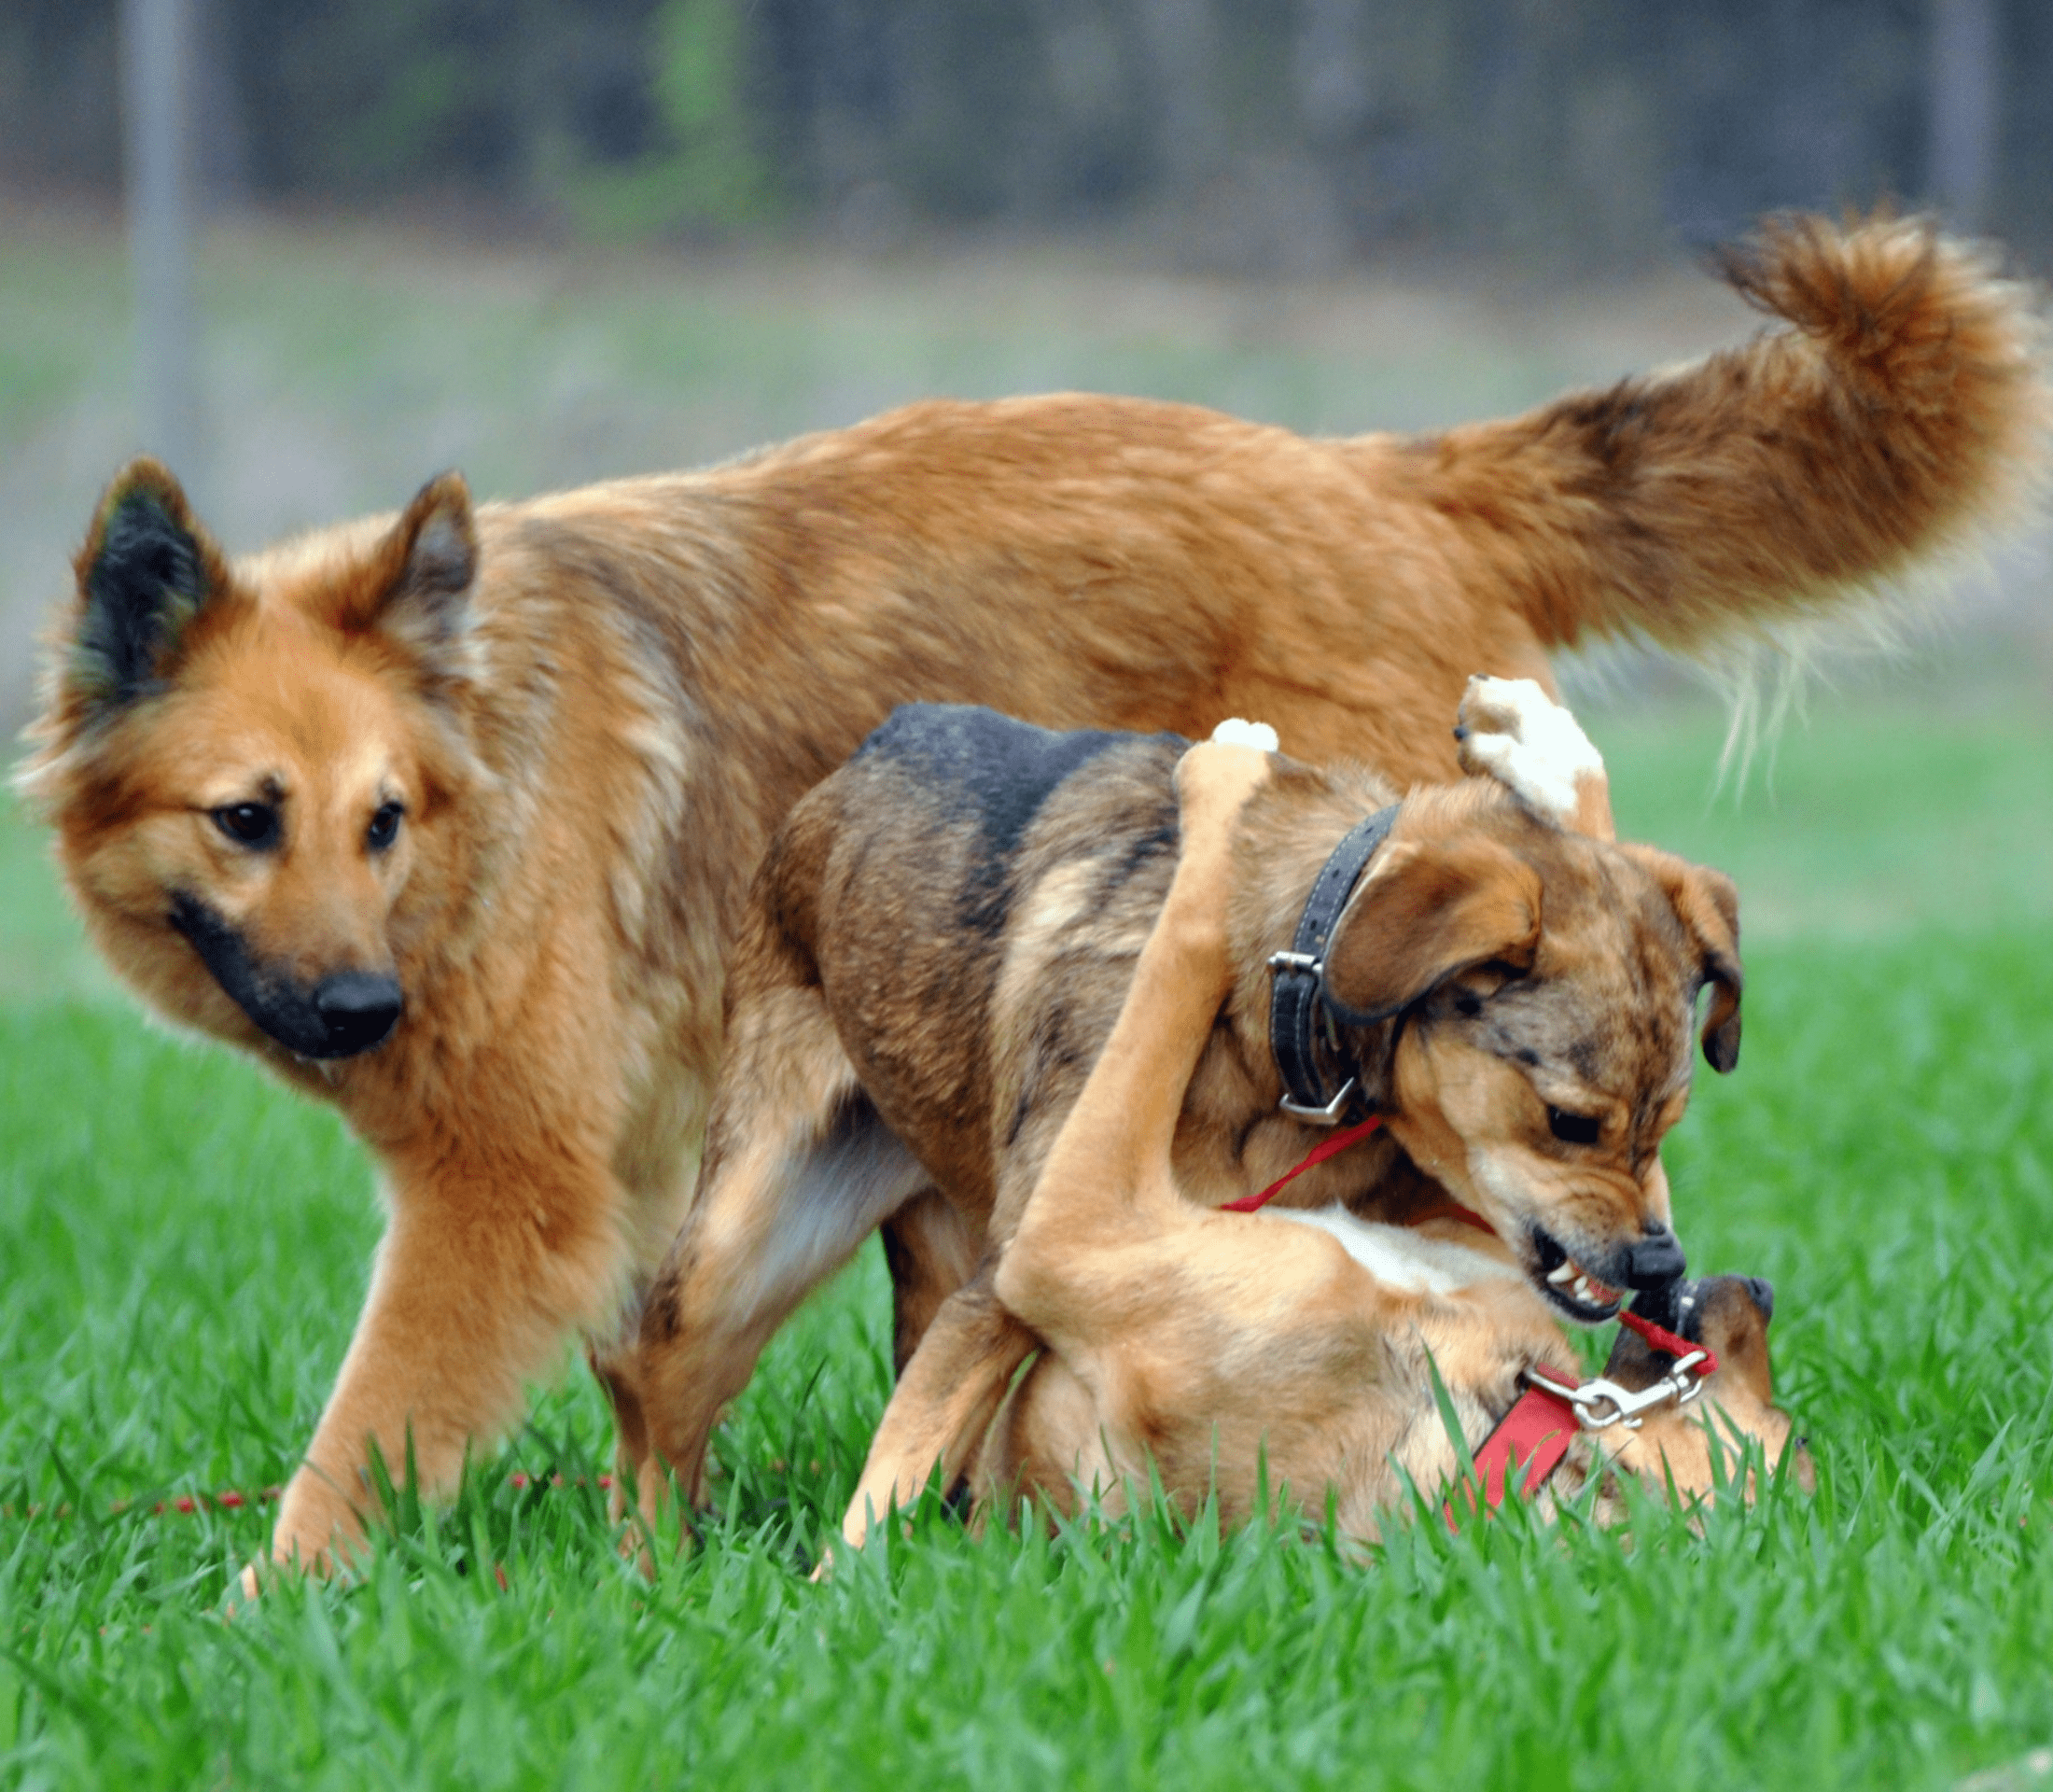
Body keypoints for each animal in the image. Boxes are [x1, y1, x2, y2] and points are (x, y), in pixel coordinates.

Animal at [603, 677, 1749, 1527]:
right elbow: (895, 1477)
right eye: (1568, 1122)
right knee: (642, 1387)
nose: (1662, 1268)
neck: (1292, 1032)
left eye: (1666, 1125)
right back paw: (656, 1567)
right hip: (736, 1257)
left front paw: (1538, 747)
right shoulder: (1024, 1271)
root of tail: (878, 741)